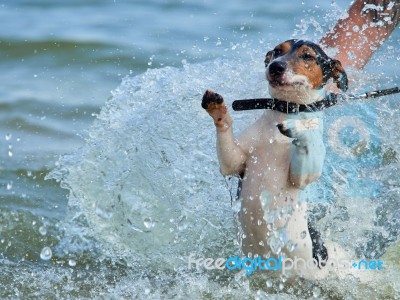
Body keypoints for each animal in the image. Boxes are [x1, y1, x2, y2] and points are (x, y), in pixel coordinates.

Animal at [202, 39, 348, 276]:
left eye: (307, 56)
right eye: (277, 51)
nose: (276, 66)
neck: (285, 111)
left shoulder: (303, 175)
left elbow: (307, 144)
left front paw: (299, 127)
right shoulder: (234, 163)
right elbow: (228, 151)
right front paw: (218, 110)